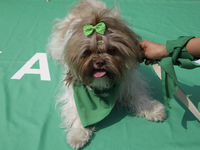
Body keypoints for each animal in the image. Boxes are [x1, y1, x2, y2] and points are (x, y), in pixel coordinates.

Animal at [47, 0, 166, 149]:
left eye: (111, 50)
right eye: (87, 52)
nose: (99, 61)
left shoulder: (129, 83)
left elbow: (138, 96)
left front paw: (152, 109)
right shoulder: (74, 93)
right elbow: (78, 111)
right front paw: (78, 133)